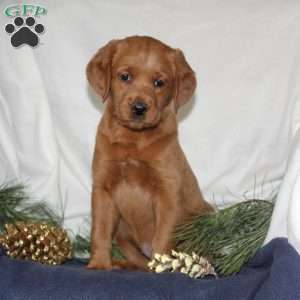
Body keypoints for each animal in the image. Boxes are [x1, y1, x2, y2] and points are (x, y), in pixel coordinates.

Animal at [86, 36, 212, 270]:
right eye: (125, 77)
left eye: (159, 83)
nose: (139, 108)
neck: (133, 140)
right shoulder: (102, 188)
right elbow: (99, 231)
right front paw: (99, 264)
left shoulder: (167, 192)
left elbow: (162, 237)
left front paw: (161, 266)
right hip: (122, 232)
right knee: (136, 259)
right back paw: (122, 264)